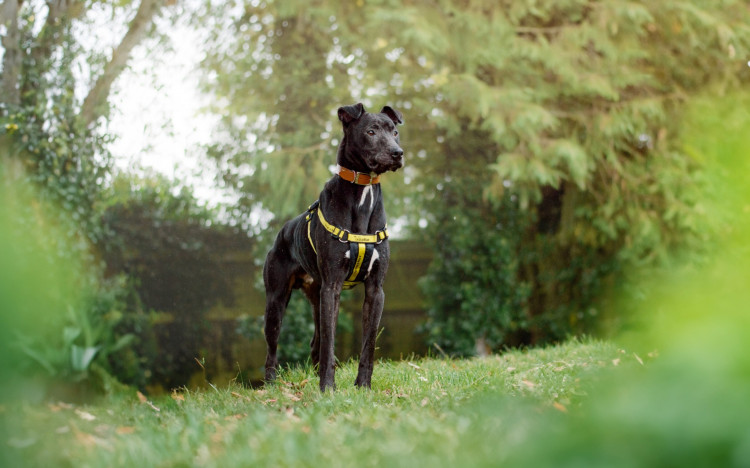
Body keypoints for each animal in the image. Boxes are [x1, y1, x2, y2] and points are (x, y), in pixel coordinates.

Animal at [264, 102, 406, 392]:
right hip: (276, 300)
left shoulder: (376, 290)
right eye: (371, 131)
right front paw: (328, 388)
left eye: (395, 131)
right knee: (273, 348)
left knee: (315, 342)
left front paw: (363, 386)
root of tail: (283, 232)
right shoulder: (332, 287)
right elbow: (331, 343)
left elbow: (368, 344)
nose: (398, 153)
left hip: (316, 297)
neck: (363, 192)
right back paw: (270, 383)